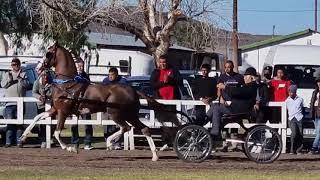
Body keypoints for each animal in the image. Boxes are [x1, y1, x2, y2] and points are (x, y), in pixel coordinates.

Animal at [21, 43, 178, 161]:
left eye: (48, 53)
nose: (38, 68)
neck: (67, 84)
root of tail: (133, 90)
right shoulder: (55, 110)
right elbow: (37, 117)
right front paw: (23, 137)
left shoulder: (63, 112)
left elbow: (57, 133)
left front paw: (70, 148)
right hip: (131, 115)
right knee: (143, 129)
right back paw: (154, 155)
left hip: (115, 113)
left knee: (125, 128)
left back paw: (110, 144)